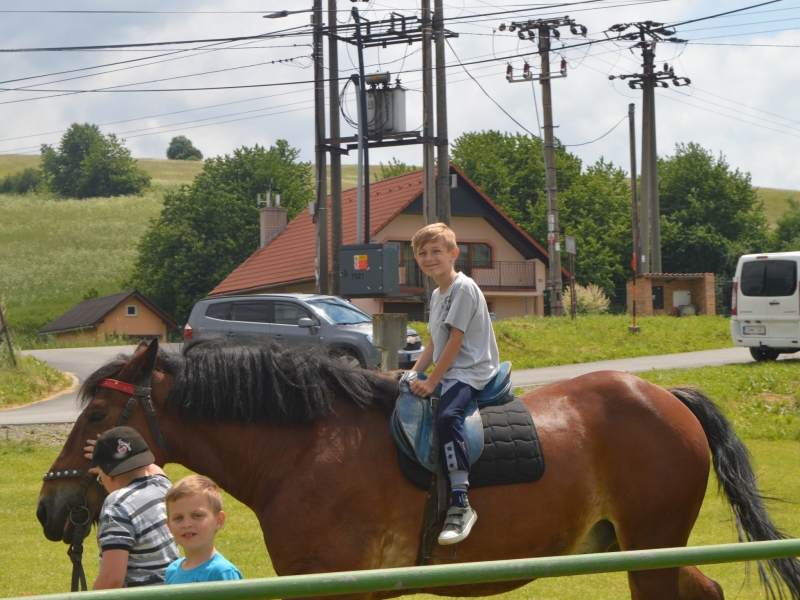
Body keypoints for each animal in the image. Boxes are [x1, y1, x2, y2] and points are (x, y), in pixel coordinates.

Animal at [36, 340, 800, 596]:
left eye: (97, 418)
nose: (50, 508)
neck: (305, 447)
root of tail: (665, 394)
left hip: (649, 553)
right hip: (642, 550)